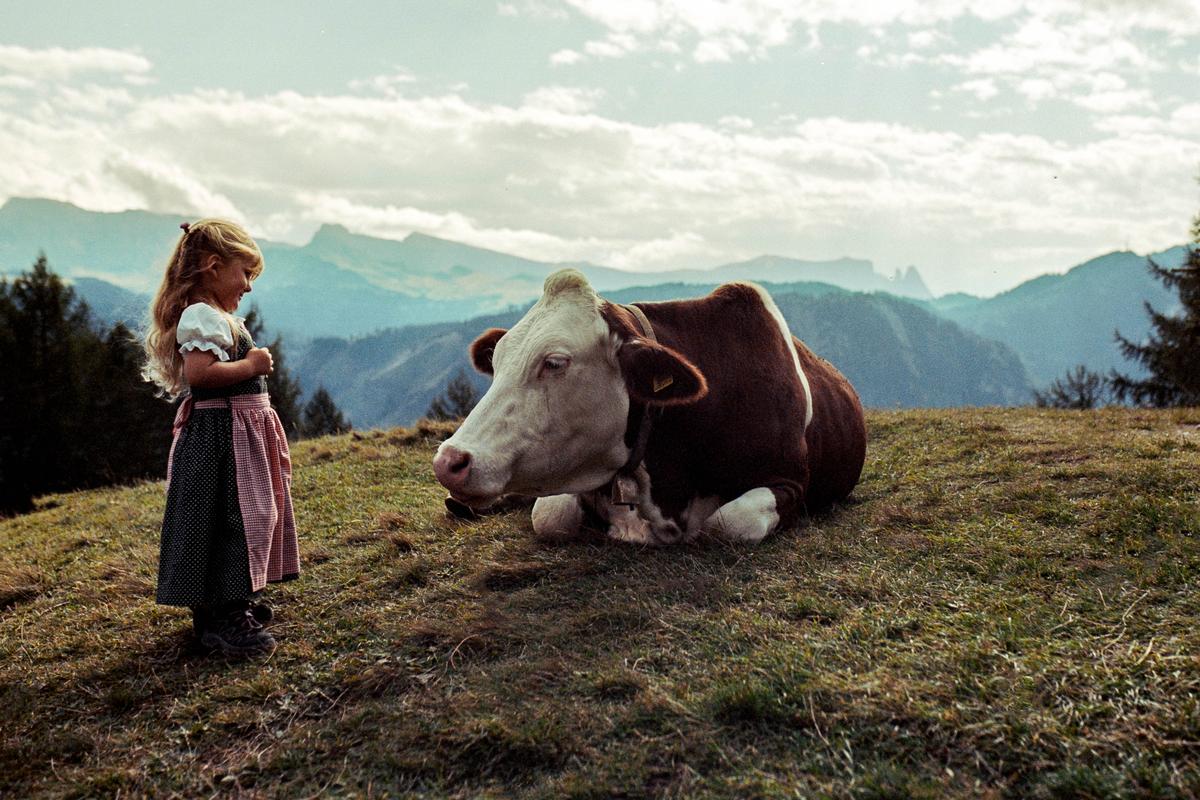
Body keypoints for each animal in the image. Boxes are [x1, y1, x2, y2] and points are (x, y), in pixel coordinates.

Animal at [432, 269, 866, 545]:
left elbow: (727, 523)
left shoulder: (792, 481)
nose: (450, 461)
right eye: (498, 359)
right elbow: (550, 516)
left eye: (555, 362)